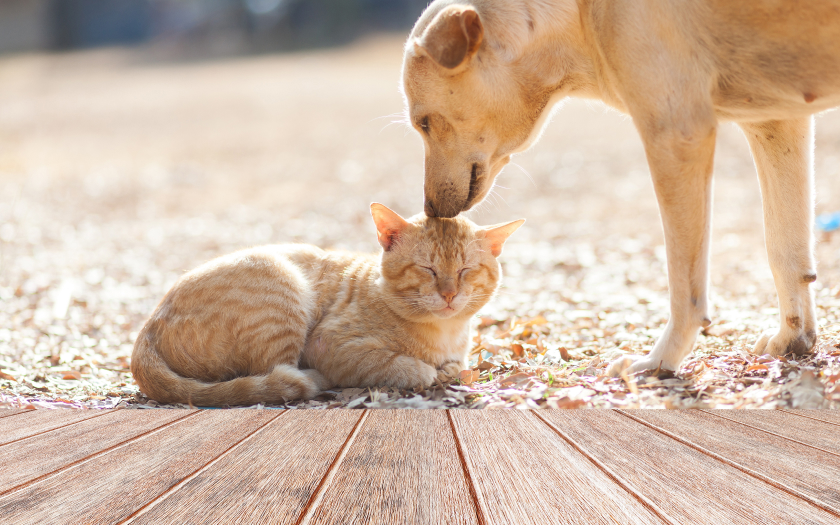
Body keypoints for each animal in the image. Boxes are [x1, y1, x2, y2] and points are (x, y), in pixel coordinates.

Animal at [130, 204, 520, 406]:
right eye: (428, 268)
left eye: (466, 270)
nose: (450, 294)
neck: (445, 332)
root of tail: (147, 328)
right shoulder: (330, 346)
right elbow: (402, 365)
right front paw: (424, 370)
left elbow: (455, 366)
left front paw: (447, 367)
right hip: (279, 285)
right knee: (274, 376)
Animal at [398, 1, 840, 376]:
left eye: (423, 123)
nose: (429, 208)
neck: (581, 14)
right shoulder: (776, 122)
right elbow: (785, 250)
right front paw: (794, 339)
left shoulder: (676, 135)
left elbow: (684, 284)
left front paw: (660, 362)